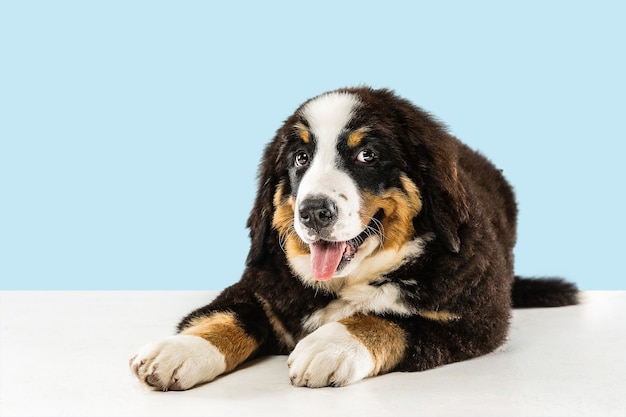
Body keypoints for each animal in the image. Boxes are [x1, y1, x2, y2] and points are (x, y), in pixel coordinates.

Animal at [129, 86, 576, 388]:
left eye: (367, 155)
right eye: (300, 159)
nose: (313, 211)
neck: (345, 282)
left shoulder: (475, 318)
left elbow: (390, 320)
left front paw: (330, 345)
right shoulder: (261, 286)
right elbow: (227, 314)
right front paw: (180, 350)